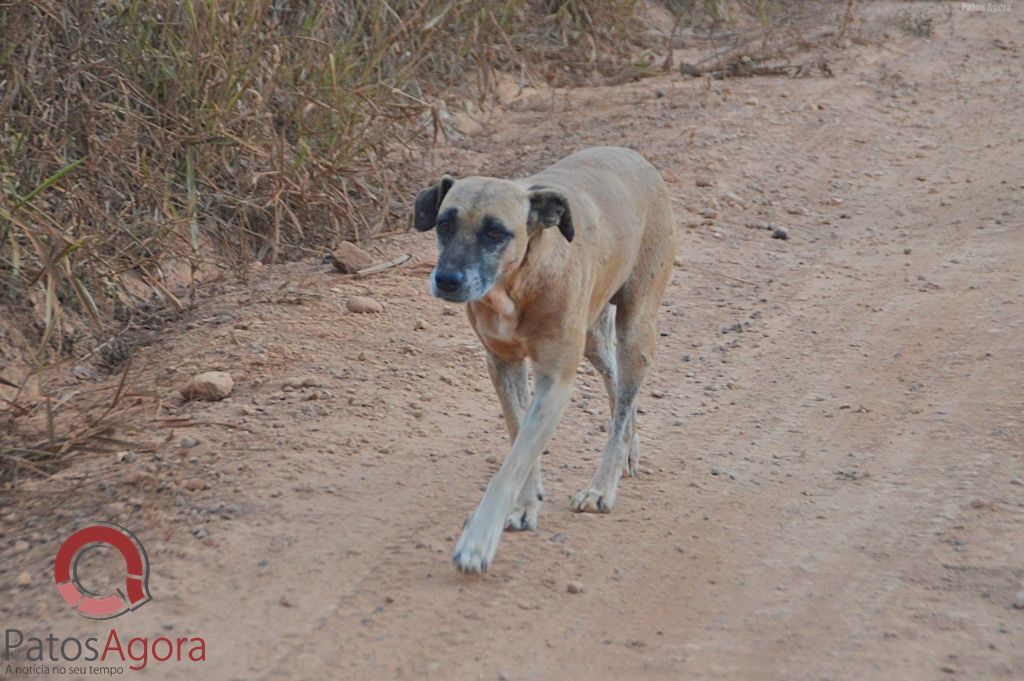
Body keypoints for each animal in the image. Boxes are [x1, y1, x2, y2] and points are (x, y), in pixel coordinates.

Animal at [411, 146, 675, 569]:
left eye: (495, 232)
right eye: (444, 223)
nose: (447, 280)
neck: (516, 285)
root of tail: (633, 156)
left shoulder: (556, 380)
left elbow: (513, 461)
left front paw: (478, 540)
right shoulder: (502, 366)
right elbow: (519, 435)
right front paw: (523, 505)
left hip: (635, 332)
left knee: (622, 407)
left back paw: (602, 487)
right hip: (594, 340)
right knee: (617, 389)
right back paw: (628, 452)